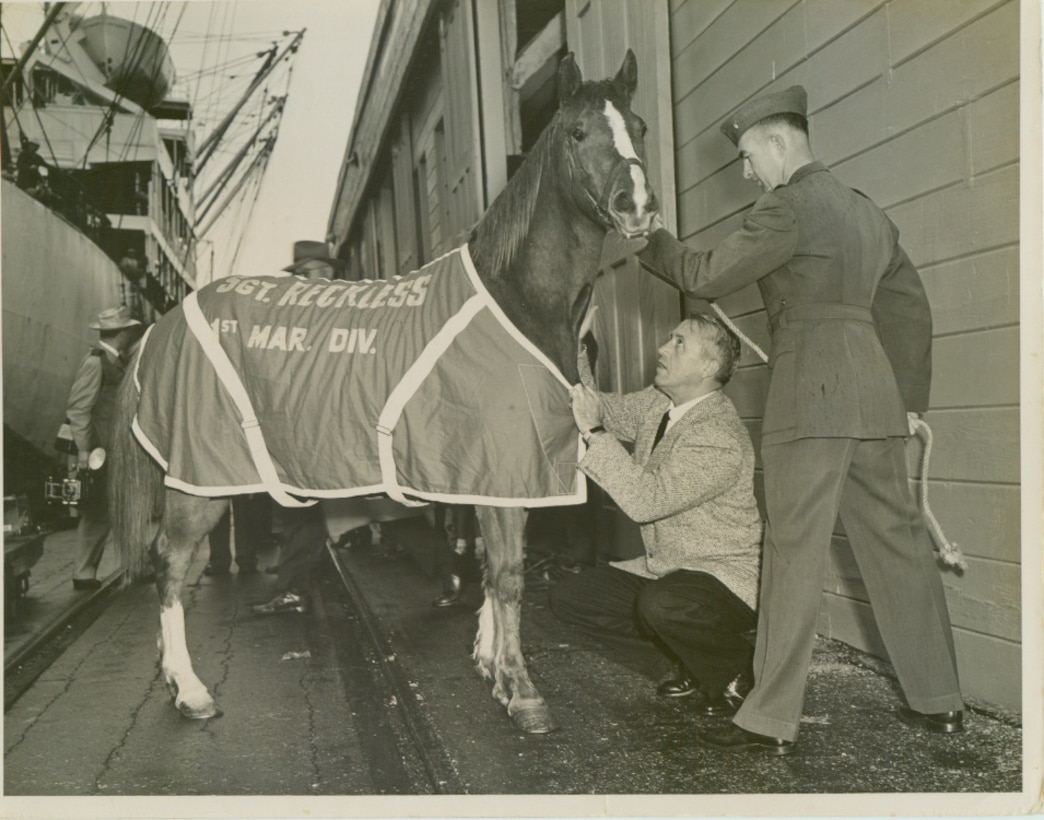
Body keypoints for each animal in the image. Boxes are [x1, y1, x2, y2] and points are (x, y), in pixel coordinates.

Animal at [108, 48, 659, 731]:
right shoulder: (502, 468)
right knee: (171, 565)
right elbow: (508, 574)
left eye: (639, 125)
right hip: (198, 482)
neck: (515, 299)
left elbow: (490, 565)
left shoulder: (493, 475)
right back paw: (189, 689)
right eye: (578, 132)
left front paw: (490, 665)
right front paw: (521, 689)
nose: (636, 205)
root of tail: (161, 324)